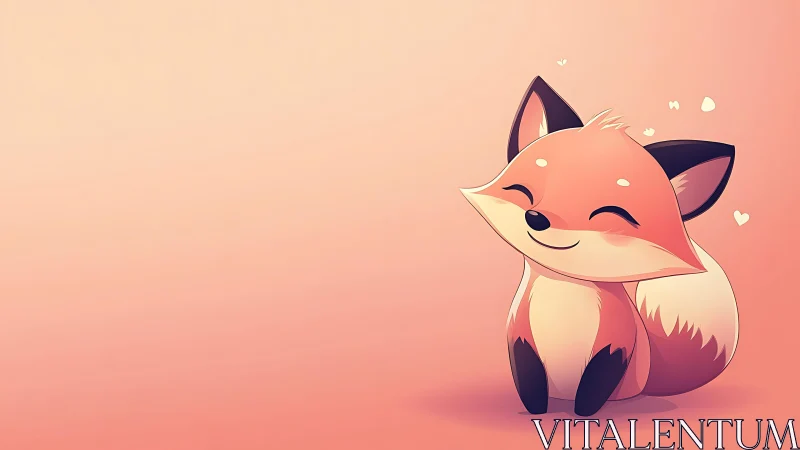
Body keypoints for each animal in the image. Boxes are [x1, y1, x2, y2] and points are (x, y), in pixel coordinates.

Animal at [461, 76, 739, 417]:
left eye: (609, 214)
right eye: (523, 192)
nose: (537, 218)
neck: (564, 292)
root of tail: (651, 376)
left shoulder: (615, 343)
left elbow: (595, 384)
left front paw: (583, 415)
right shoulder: (519, 335)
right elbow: (529, 381)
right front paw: (537, 412)